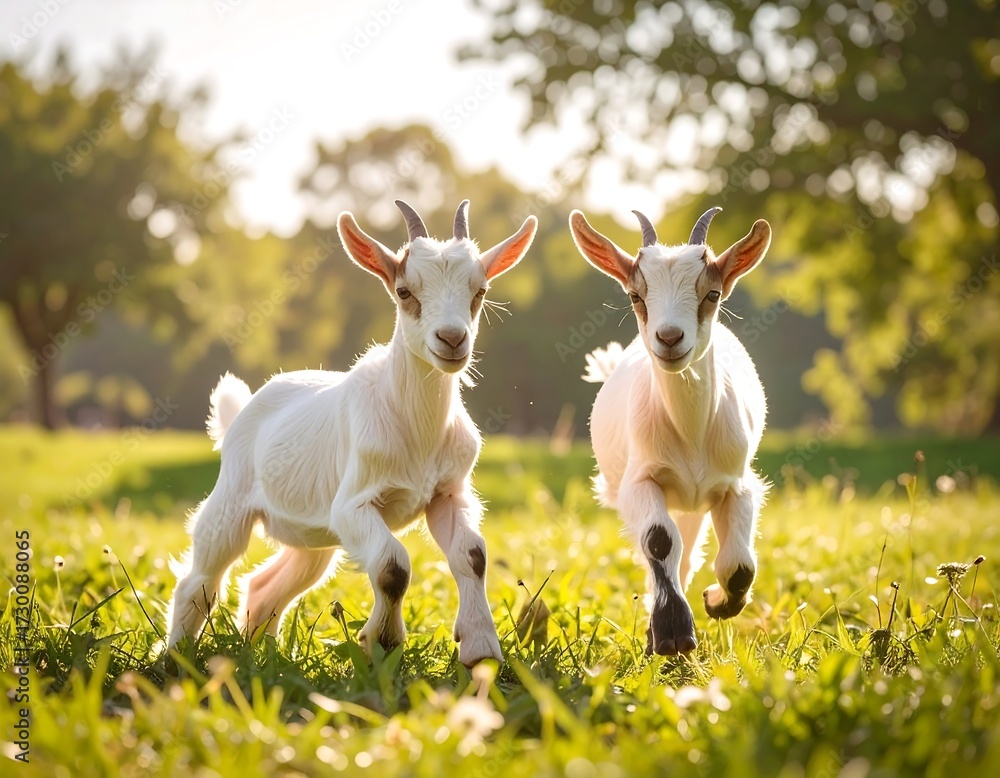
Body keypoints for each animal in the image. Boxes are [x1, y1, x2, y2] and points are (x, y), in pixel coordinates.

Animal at [166, 200, 537, 666]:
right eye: (404, 292)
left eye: (480, 291)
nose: (452, 339)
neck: (416, 427)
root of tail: (242, 411)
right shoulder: (353, 503)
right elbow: (393, 566)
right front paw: (382, 642)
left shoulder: (448, 494)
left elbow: (472, 556)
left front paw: (480, 649)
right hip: (231, 501)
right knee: (200, 578)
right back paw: (174, 659)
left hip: (314, 532)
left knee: (269, 585)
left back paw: (259, 656)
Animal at [569, 206, 771, 656]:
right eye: (636, 296)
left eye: (712, 295)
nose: (669, 337)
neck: (690, 433)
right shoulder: (639, 482)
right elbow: (660, 541)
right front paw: (671, 633)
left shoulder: (736, 483)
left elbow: (739, 565)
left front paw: (717, 602)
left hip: (693, 503)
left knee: (689, 556)